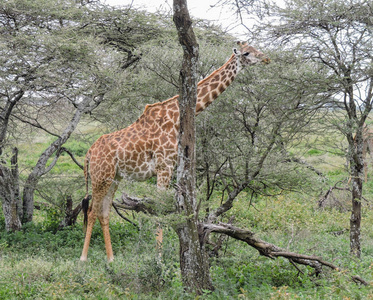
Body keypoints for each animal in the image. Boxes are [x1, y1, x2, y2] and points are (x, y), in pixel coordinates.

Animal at [80, 41, 268, 262]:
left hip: (114, 177)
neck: (175, 117)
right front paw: (158, 259)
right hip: (100, 176)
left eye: (255, 49)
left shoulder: (173, 166)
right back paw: (83, 259)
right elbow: (160, 210)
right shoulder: (164, 166)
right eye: (246, 53)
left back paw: (111, 259)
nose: (266, 58)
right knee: (91, 211)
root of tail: (89, 153)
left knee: (104, 211)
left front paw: (159, 256)